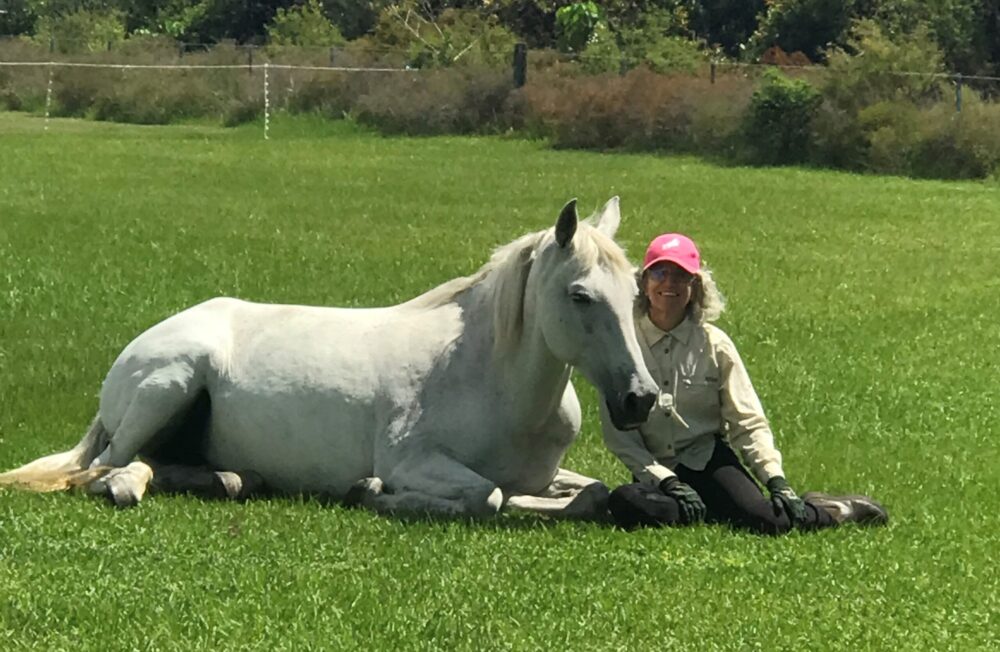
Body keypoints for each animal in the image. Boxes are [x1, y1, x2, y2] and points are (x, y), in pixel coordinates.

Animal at [0, 199, 660, 520]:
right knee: (104, 469)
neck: (489, 379)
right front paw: (371, 493)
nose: (641, 400)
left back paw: (233, 480)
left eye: (635, 293)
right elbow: (488, 498)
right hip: (168, 384)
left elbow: (591, 492)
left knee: (156, 466)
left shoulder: (547, 474)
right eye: (579, 295)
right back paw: (126, 488)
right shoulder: (415, 461)